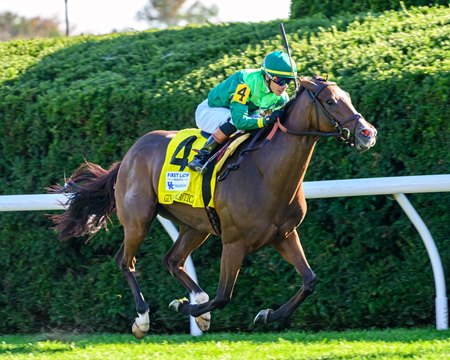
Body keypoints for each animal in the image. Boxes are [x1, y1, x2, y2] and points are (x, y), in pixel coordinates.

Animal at [49, 75, 376, 338]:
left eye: (347, 97)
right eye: (331, 101)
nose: (367, 133)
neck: (266, 173)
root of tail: (129, 154)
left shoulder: (284, 235)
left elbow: (309, 281)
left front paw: (265, 315)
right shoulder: (234, 242)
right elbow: (223, 296)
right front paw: (183, 308)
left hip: (197, 226)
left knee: (172, 260)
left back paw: (195, 301)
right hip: (138, 219)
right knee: (125, 261)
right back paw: (143, 318)